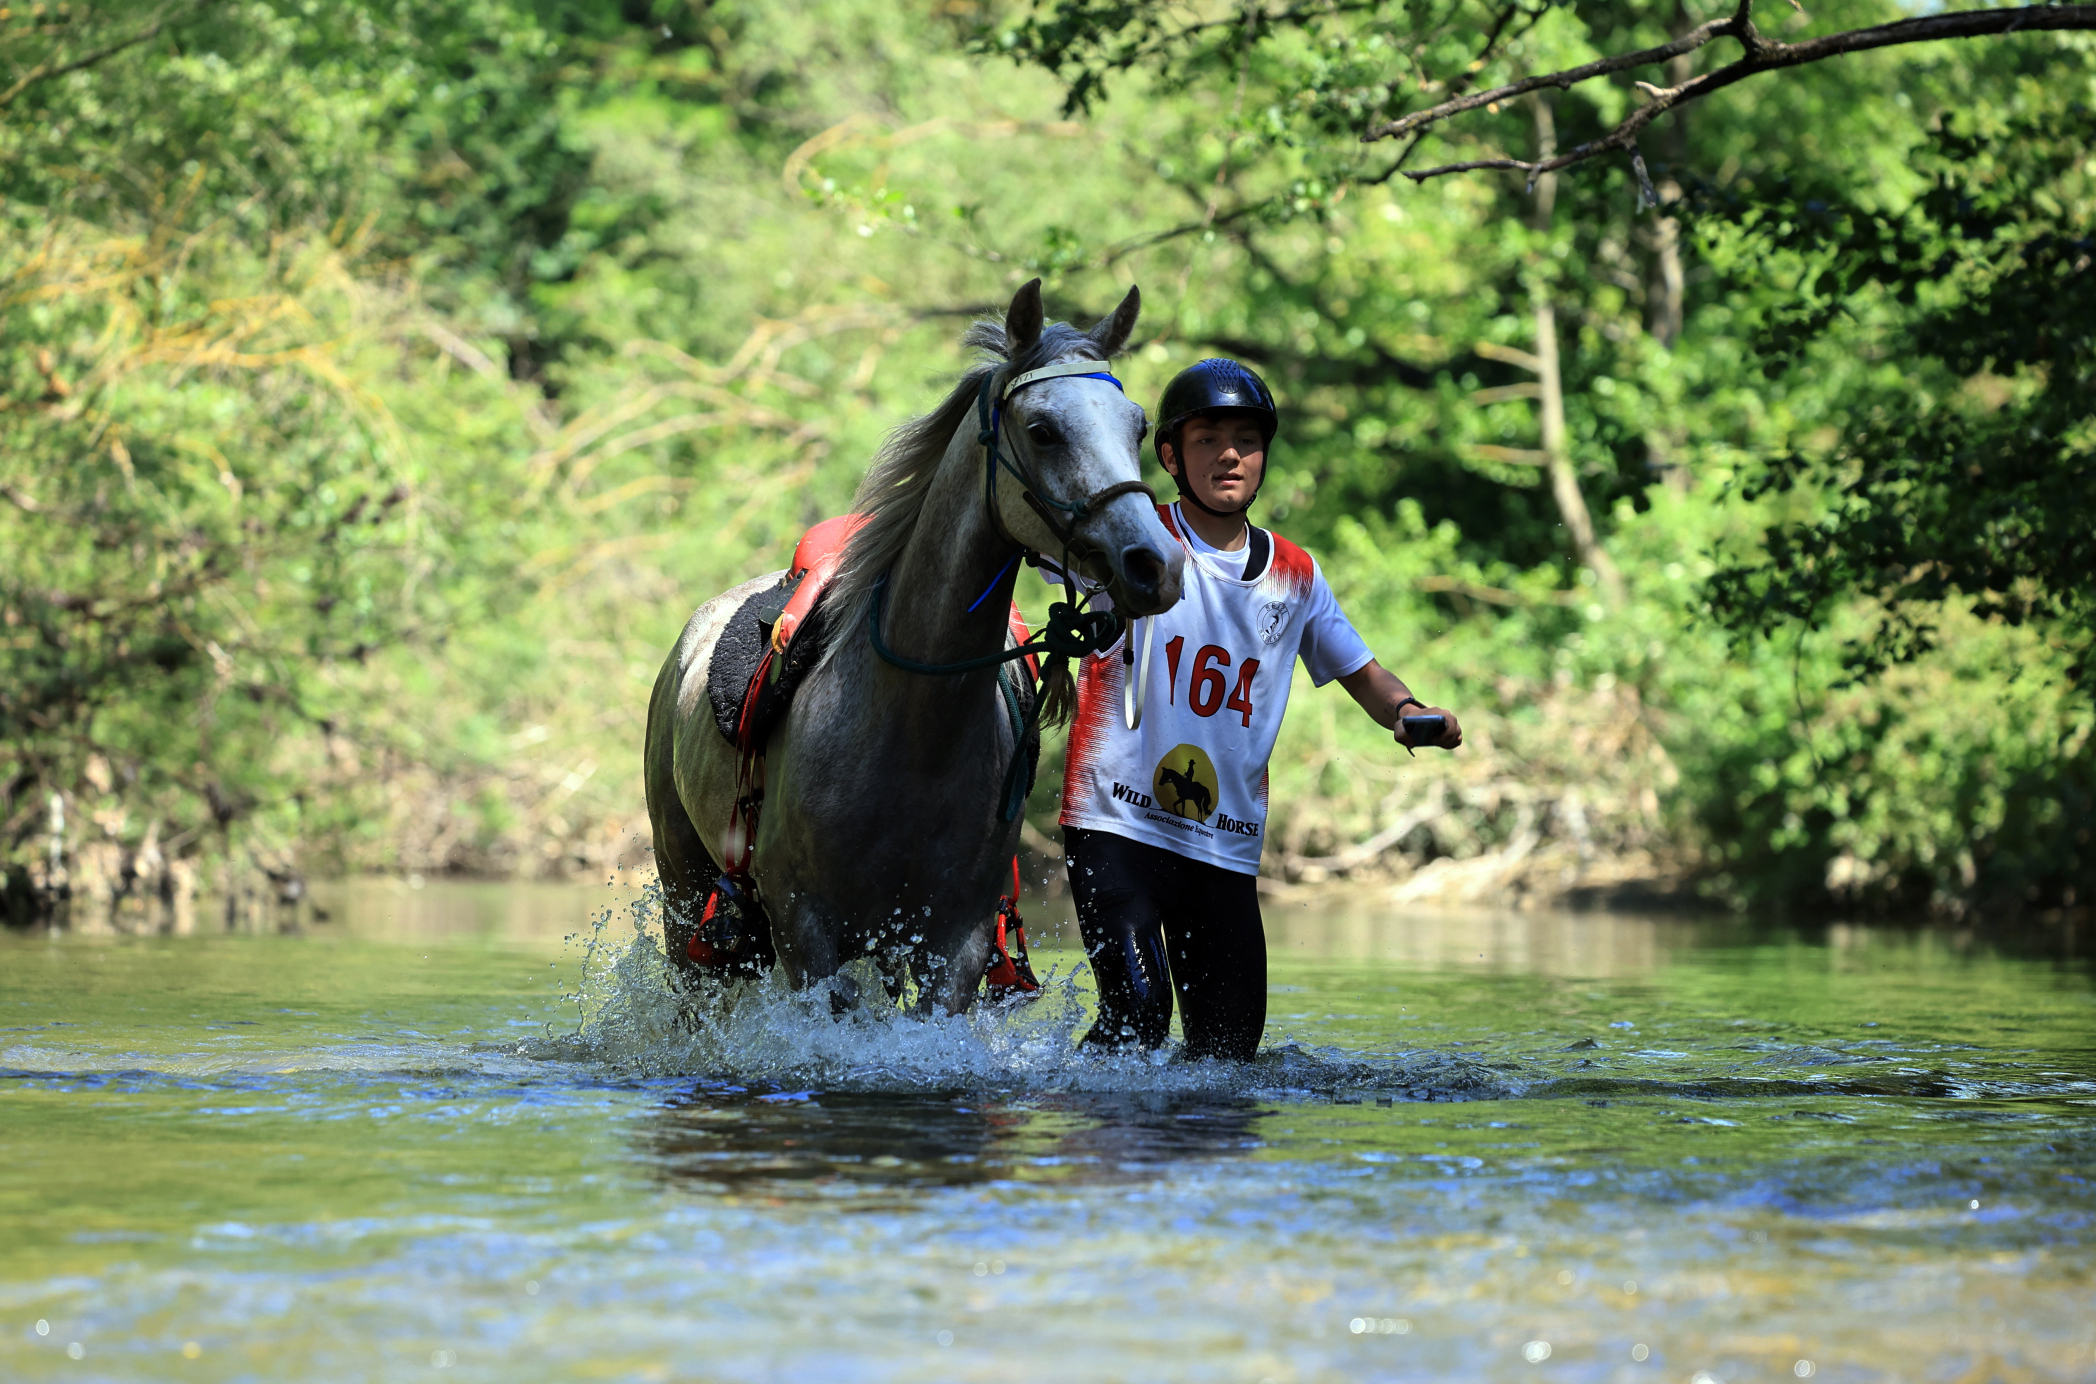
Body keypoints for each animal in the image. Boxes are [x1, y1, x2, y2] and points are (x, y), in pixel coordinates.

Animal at [643, 280, 1184, 1015]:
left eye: (1139, 427)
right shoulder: (807, 936)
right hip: (687, 904)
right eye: (1042, 430)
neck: (911, 726)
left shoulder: (954, 945)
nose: (1155, 564)